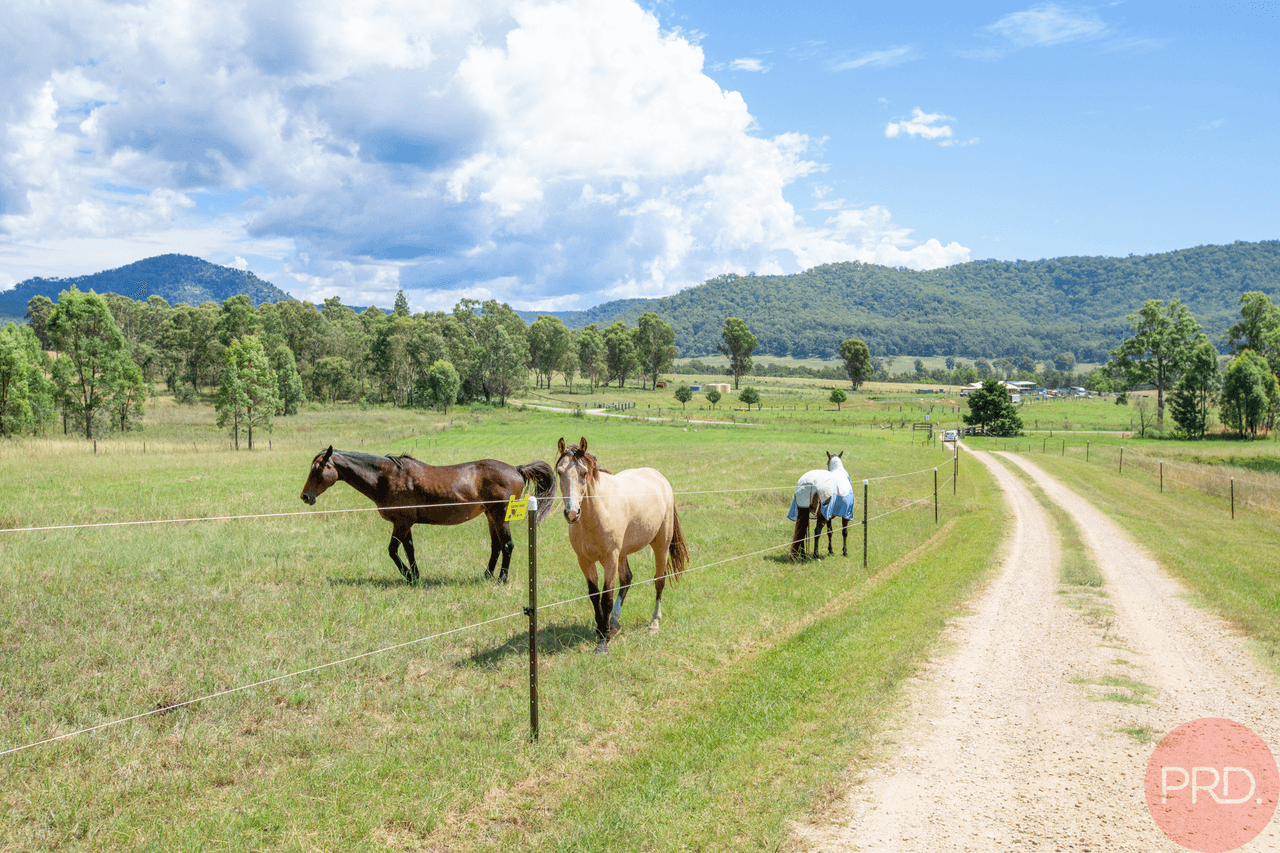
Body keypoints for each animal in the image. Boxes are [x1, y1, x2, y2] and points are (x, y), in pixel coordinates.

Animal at [304, 448, 560, 581]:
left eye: (318, 469)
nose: (305, 496)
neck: (387, 477)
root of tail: (516, 469)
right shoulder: (406, 523)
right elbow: (409, 549)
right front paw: (415, 576)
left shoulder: (401, 523)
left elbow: (393, 550)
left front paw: (408, 575)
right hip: (490, 516)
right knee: (496, 546)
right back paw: (487, 575)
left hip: (500, 515)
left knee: (507, 545)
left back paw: (501, 579)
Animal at [552, 435, 691, 653]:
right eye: (559, 472)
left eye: (583, 472)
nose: (572, 513)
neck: (596, 513)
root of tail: (659, 477)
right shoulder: (585, 560)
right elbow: (594, 595)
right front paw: (601, 629)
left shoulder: (610, 559)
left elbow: (606, 597)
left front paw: (603, 642)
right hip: (623, 554)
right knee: (627, 579)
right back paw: (615, 622)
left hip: (661, 545)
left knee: (659, 581)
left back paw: (654, 623)